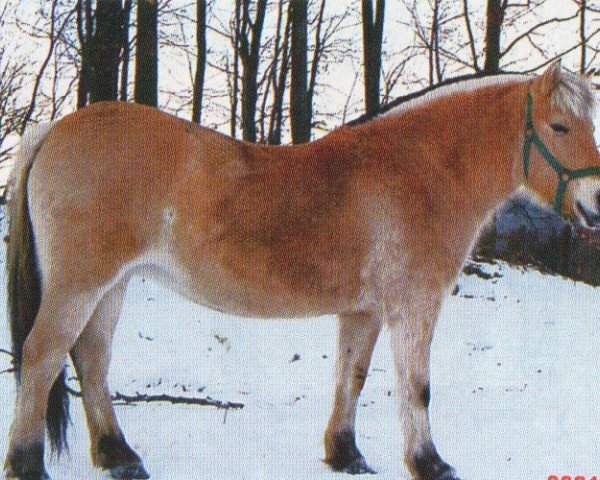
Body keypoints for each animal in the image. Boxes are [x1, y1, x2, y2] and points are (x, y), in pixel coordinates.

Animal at [4, 61, 600, 480]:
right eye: (559, 126)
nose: (595, 206)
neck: (418, 169)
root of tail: (54, 129)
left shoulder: (363, 311)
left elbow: (352, 377)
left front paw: (345, 454)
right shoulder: (415, 304)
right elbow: (417, 386)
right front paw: (430, 463)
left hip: (112, 285)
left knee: (91, 360)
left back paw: (119, 456)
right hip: (80, 284)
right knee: (41, 356)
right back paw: (29, 462)